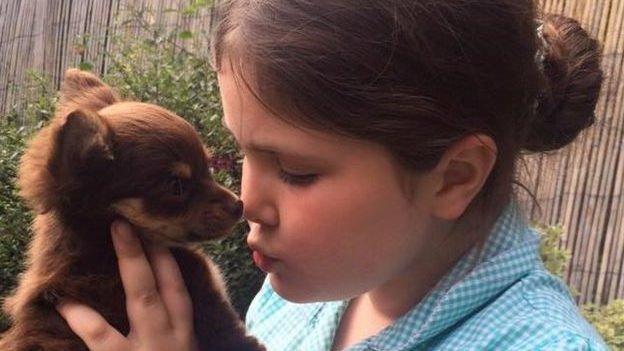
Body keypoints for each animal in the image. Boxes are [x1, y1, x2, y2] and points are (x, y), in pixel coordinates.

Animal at [0, 69, 264, 351]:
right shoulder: (202, 289)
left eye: (208, 168)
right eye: (176, 186)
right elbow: (228, 332)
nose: (239, 205)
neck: (101, 245)